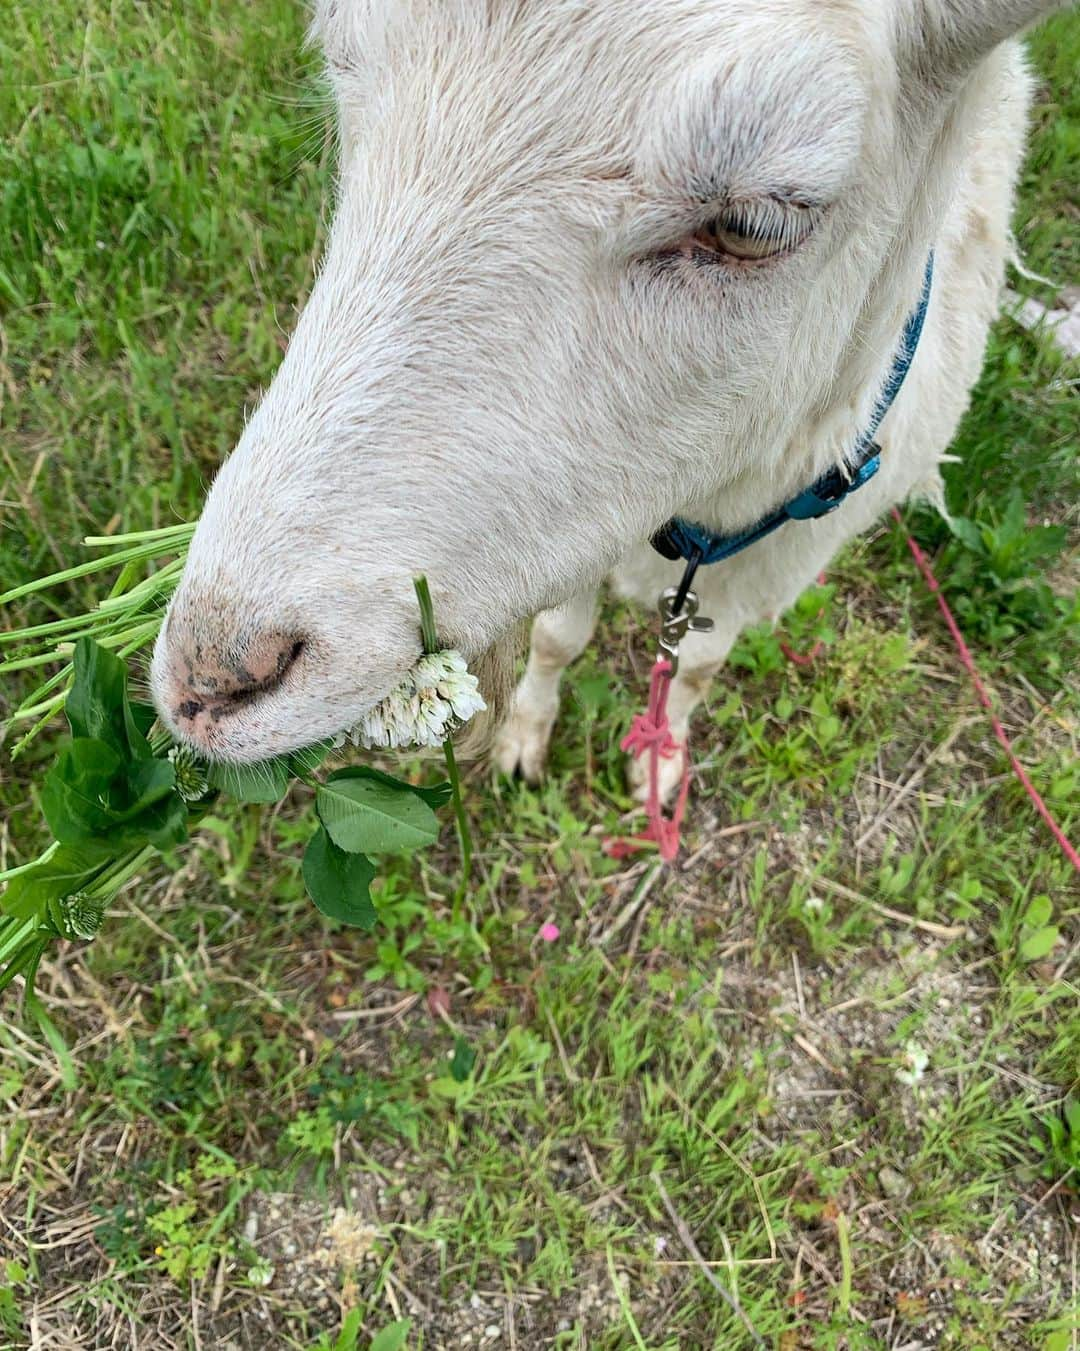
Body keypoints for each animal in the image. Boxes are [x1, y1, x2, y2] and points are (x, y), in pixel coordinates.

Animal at [152, 0, 1070, 805]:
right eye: (338, 64)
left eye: (751, 224)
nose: (211, 684)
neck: (692, 523)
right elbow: (561, 635)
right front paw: (524, 737)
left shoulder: (767, 567)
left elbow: (696, 668)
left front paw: (660, 766)